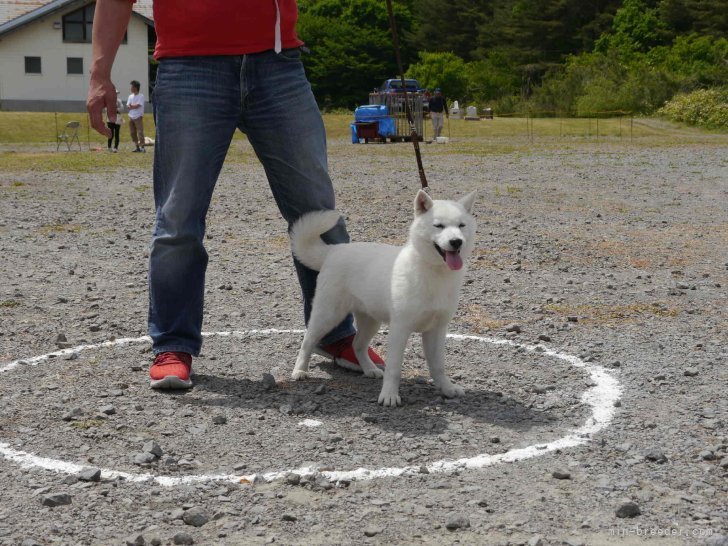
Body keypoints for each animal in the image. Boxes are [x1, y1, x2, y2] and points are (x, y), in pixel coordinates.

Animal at [290, 189, 478, 406]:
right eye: (438, 225)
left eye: (461, 226)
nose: (456, 241)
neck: (433, 272)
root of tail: (333, 250)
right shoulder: (400, 329)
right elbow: (394, 369)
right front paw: (389, 395)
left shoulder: (437, 331)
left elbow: (438, 365)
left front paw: (447, 388)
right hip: (328, 315)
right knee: (308, 340)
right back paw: (299, 370)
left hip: (370, 321)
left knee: (357, 345)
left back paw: (370, 369)